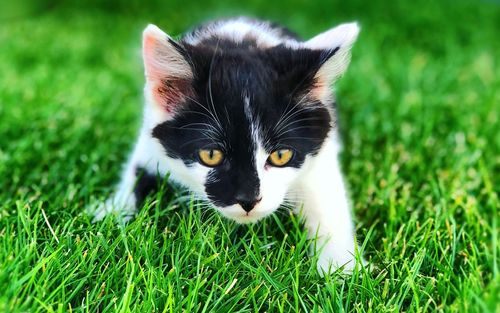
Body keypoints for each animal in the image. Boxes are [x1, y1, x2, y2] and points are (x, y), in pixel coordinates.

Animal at [92, 17, 362, 272]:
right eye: (211, 155)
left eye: (281, 156)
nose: (249, 201)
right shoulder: (151, 140)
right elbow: (137, 173)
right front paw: (111, 214)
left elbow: (325, 195)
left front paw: (342, 269)